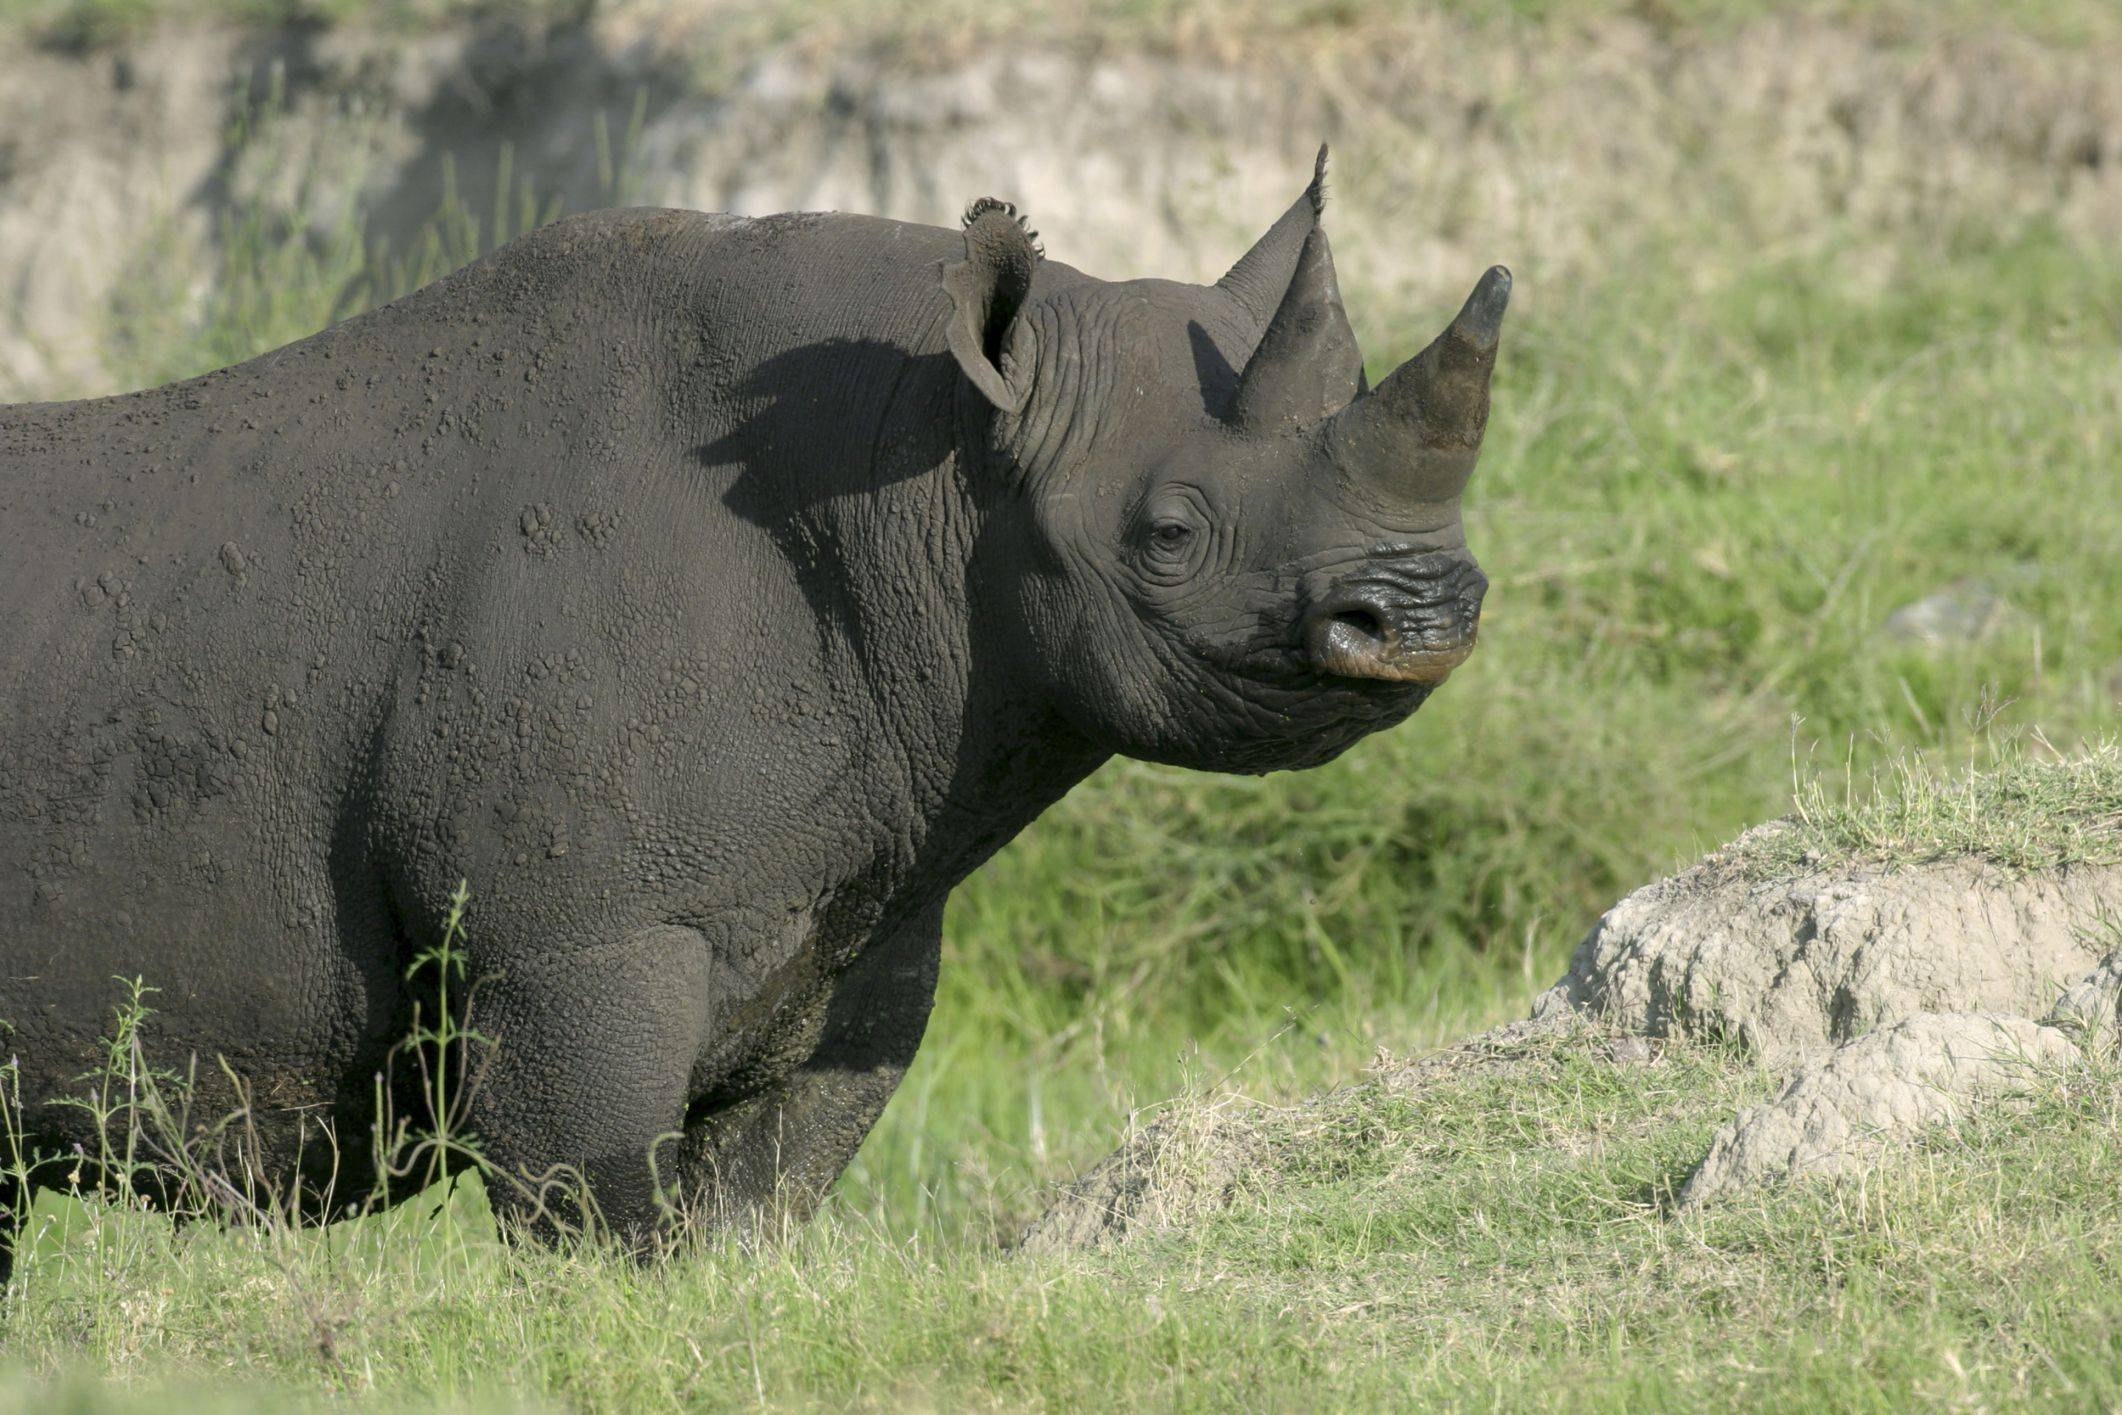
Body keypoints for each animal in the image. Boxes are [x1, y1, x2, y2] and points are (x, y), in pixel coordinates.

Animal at [8, 149, 1519, 1264]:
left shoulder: (869, 918)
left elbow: (754, 1212)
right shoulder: (575, 942)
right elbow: (595, 1219)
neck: (935, 470)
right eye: (1168, 535)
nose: (1423, 613)